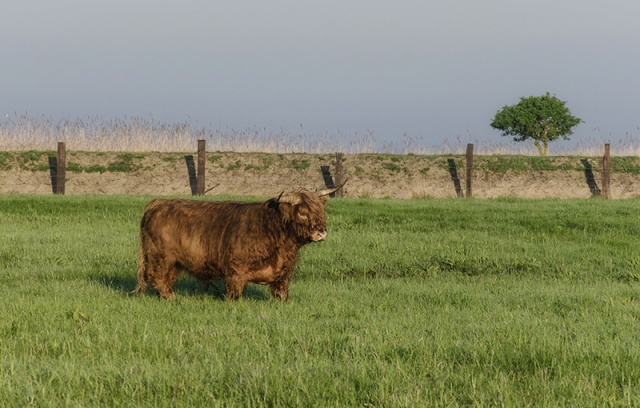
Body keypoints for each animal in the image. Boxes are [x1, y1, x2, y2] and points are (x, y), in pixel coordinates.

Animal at [130, 185, 344, 300]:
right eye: (302, 212)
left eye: (320, 210)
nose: (321, 232)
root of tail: (158, 203)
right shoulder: (236, 270)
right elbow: (234, 293)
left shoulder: (284, 273)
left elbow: (281, 292)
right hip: (161, 256)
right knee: (157, 277)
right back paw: (172, 298)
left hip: (175, 262)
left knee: (166, 279)